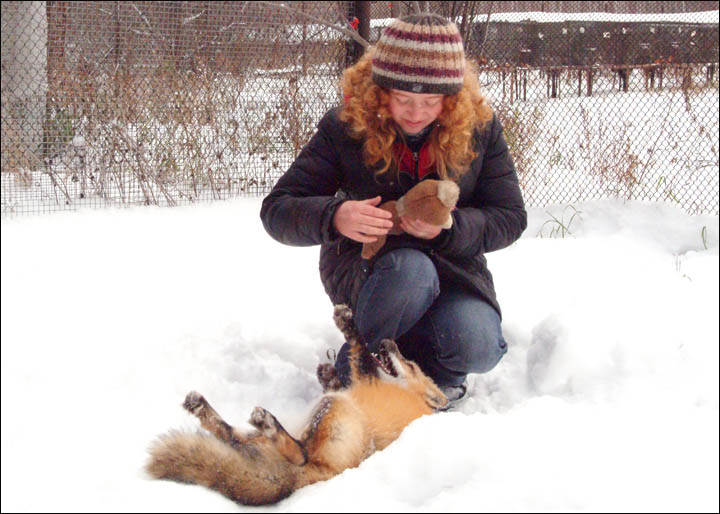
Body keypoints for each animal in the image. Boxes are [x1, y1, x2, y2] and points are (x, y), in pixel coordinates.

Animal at [146, 302, 448, 502]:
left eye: (410, 364)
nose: (389, 342)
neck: (411, 396)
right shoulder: (358, 383)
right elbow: (345, 370)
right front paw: (327, 373)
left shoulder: (365, 378)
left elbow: (359, 348)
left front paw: (347, 323)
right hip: (287, 429)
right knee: (234, 437)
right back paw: (204, 408)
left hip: (333, 408)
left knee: (299, 453)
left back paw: (269, 424)